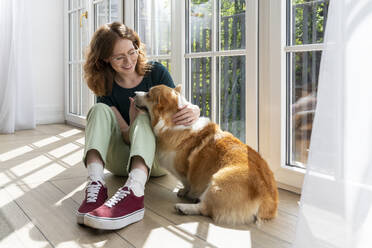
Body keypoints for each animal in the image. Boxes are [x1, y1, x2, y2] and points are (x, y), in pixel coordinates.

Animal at [135, 85, 278, 225]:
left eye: (148, 94)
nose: (135, 92)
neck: (171, 122)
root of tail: (267, 199)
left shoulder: (183, 171)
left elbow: (187, 182)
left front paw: (185, 192)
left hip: (216, 183)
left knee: (206, 208)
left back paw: (183, 207)